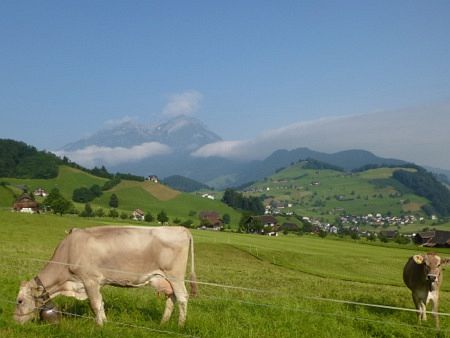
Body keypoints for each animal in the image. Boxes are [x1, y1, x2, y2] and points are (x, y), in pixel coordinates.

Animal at [14, 226, 196, 326]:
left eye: (19, 301)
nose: (15, 321)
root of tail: (180, 228)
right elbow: (100, 303)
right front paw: (105, 322)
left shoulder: (90, 280)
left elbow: (95, 304)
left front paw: (99, 325)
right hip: (166, 279)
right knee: (171, 298)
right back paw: (163, 323)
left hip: (175, 276)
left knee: (182, 298)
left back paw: (180, 326)